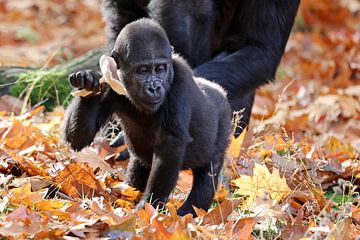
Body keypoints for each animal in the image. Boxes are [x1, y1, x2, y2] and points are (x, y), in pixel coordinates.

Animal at [62, 17, 231, 215]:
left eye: (159, 69)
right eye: (142, 71)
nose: (154, 88)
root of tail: (219, 90)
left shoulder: (180, 81)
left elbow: (170, 144)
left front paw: (148, 205)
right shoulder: (112, 82)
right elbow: (81, 137)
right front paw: (88, 81)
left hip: (224, 117)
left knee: (207, 175)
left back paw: (189, 212)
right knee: (139, 165)